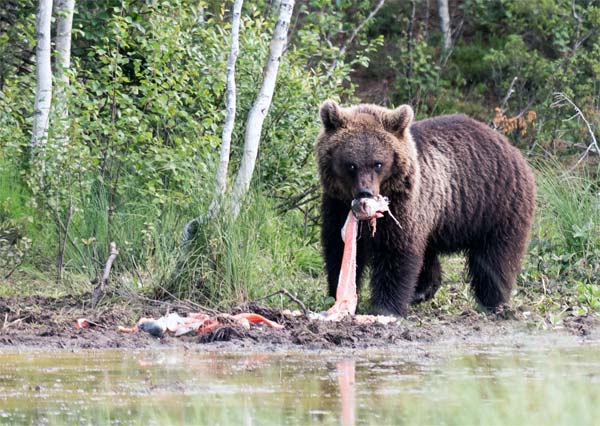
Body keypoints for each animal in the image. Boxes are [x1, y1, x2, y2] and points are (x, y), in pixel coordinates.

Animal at [316, 100, 536, 316]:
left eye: (378, 163)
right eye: (351, 165)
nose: (365, 192)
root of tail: (510, 147)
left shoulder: (404, 206)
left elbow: (396, 252)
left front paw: (386, 306)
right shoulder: (337, 204)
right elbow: (338, 247)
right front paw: (336, 292)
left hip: (496, 205)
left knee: (496, 258)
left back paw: (494, 302)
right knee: (429, 253)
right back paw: (422, 290)